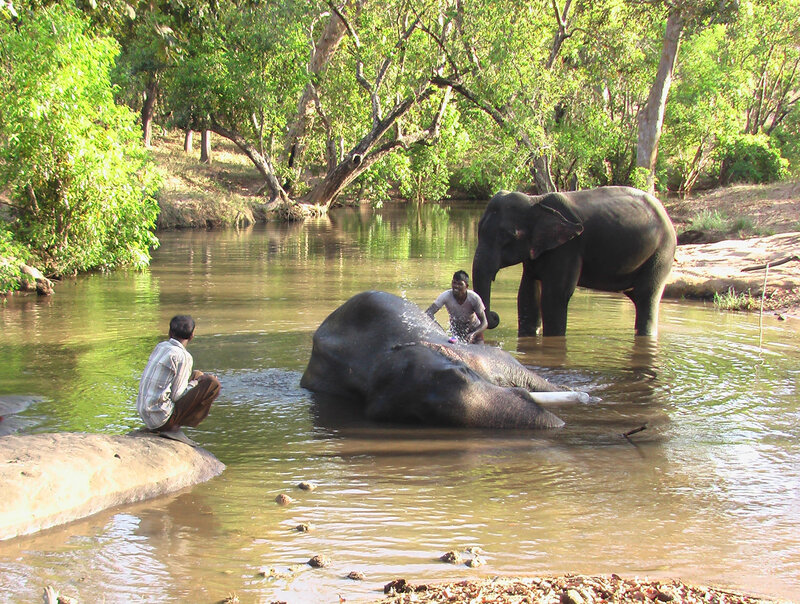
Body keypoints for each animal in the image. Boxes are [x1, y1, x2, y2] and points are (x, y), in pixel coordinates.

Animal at [472, 186, 676, 337]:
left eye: (509, 237)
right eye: (479, 230)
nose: (495, 316)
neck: (536, 201)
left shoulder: (568, 248)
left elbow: (555, 296)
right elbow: (527, 294)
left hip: (661, 254)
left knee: (647, 297)